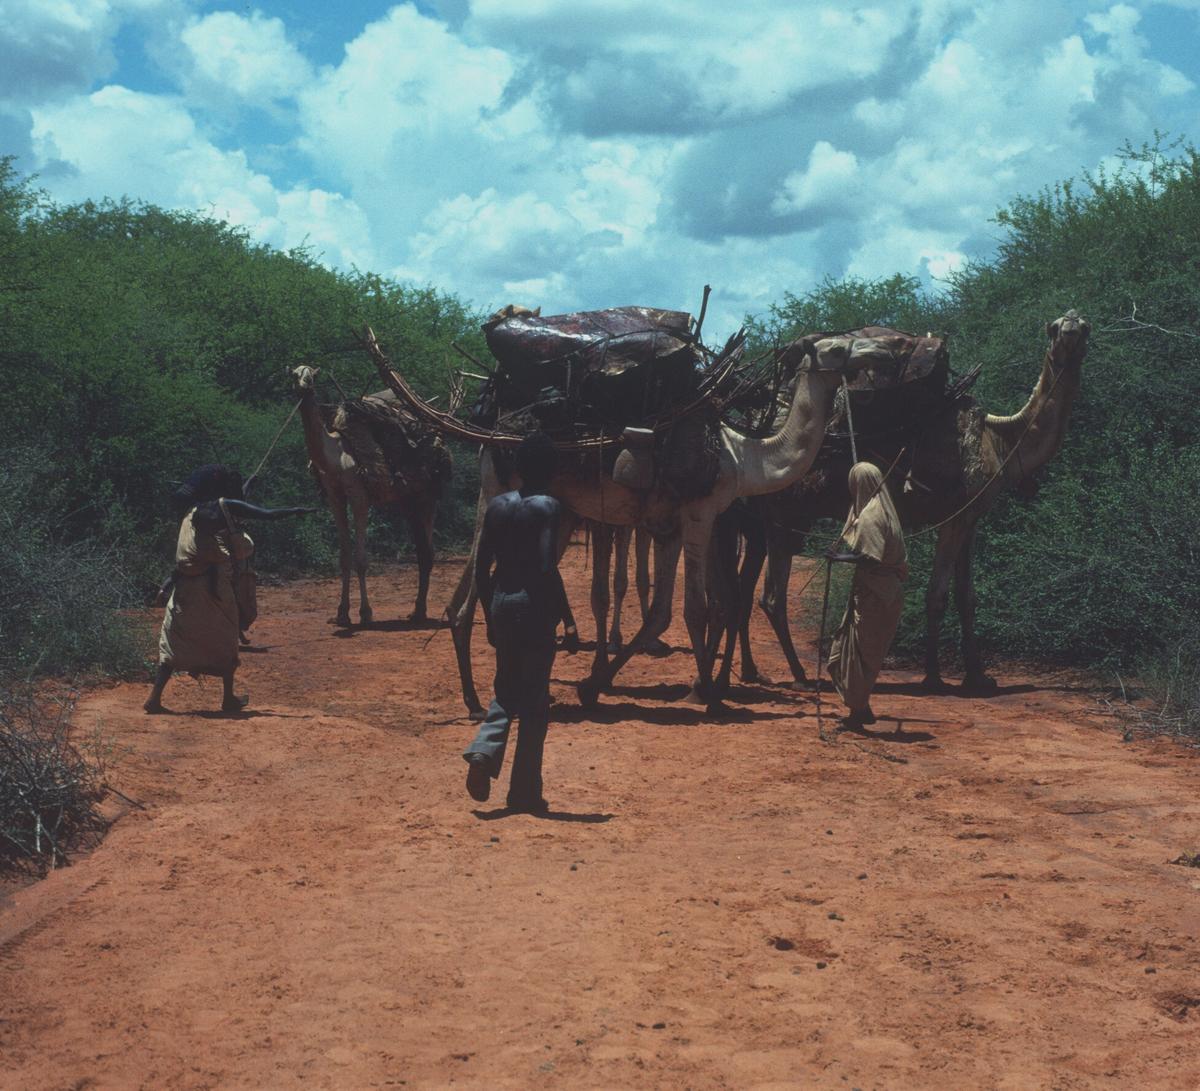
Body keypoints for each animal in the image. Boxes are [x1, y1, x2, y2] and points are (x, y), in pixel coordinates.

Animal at [292, 365, 451, 627]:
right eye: (294, 374)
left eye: (311, 375)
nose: (303, 386)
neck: (334, 455)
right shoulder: (335, 497)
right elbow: (344, 557)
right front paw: (341, 613)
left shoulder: (359, 496)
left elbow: (361, 559)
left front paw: (365, 613)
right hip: (408, 500)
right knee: (423, 550)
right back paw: (417, 612)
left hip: (427, 495)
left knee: (427, 551)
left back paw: (419, 612)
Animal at [735, 310, 1091, 692]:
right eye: (1054, 328)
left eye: (1085, 327)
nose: (1071, 325)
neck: (1000, 442)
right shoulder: (954, 517)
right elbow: (937, 595)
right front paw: (934, 677)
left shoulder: (970, 519)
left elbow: (967, 597)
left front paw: (978, 676)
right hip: (783, 514)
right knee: (771, 597)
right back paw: (800, 675)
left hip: (768, 522)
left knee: (744, 589)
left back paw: (752, 671)